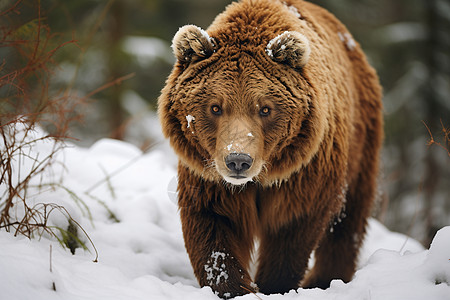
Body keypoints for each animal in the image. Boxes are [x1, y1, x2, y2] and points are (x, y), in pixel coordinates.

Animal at [158, 0, 384, 296]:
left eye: (265, 108)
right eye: (215, 107)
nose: (238, 160)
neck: (261, 176)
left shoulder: (302, 175)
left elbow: (291, 232)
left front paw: (275, 285)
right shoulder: (209, 176)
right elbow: (214, 231)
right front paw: (233, 287)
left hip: (361, 141)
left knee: (348, 222)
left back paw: (325, 279)